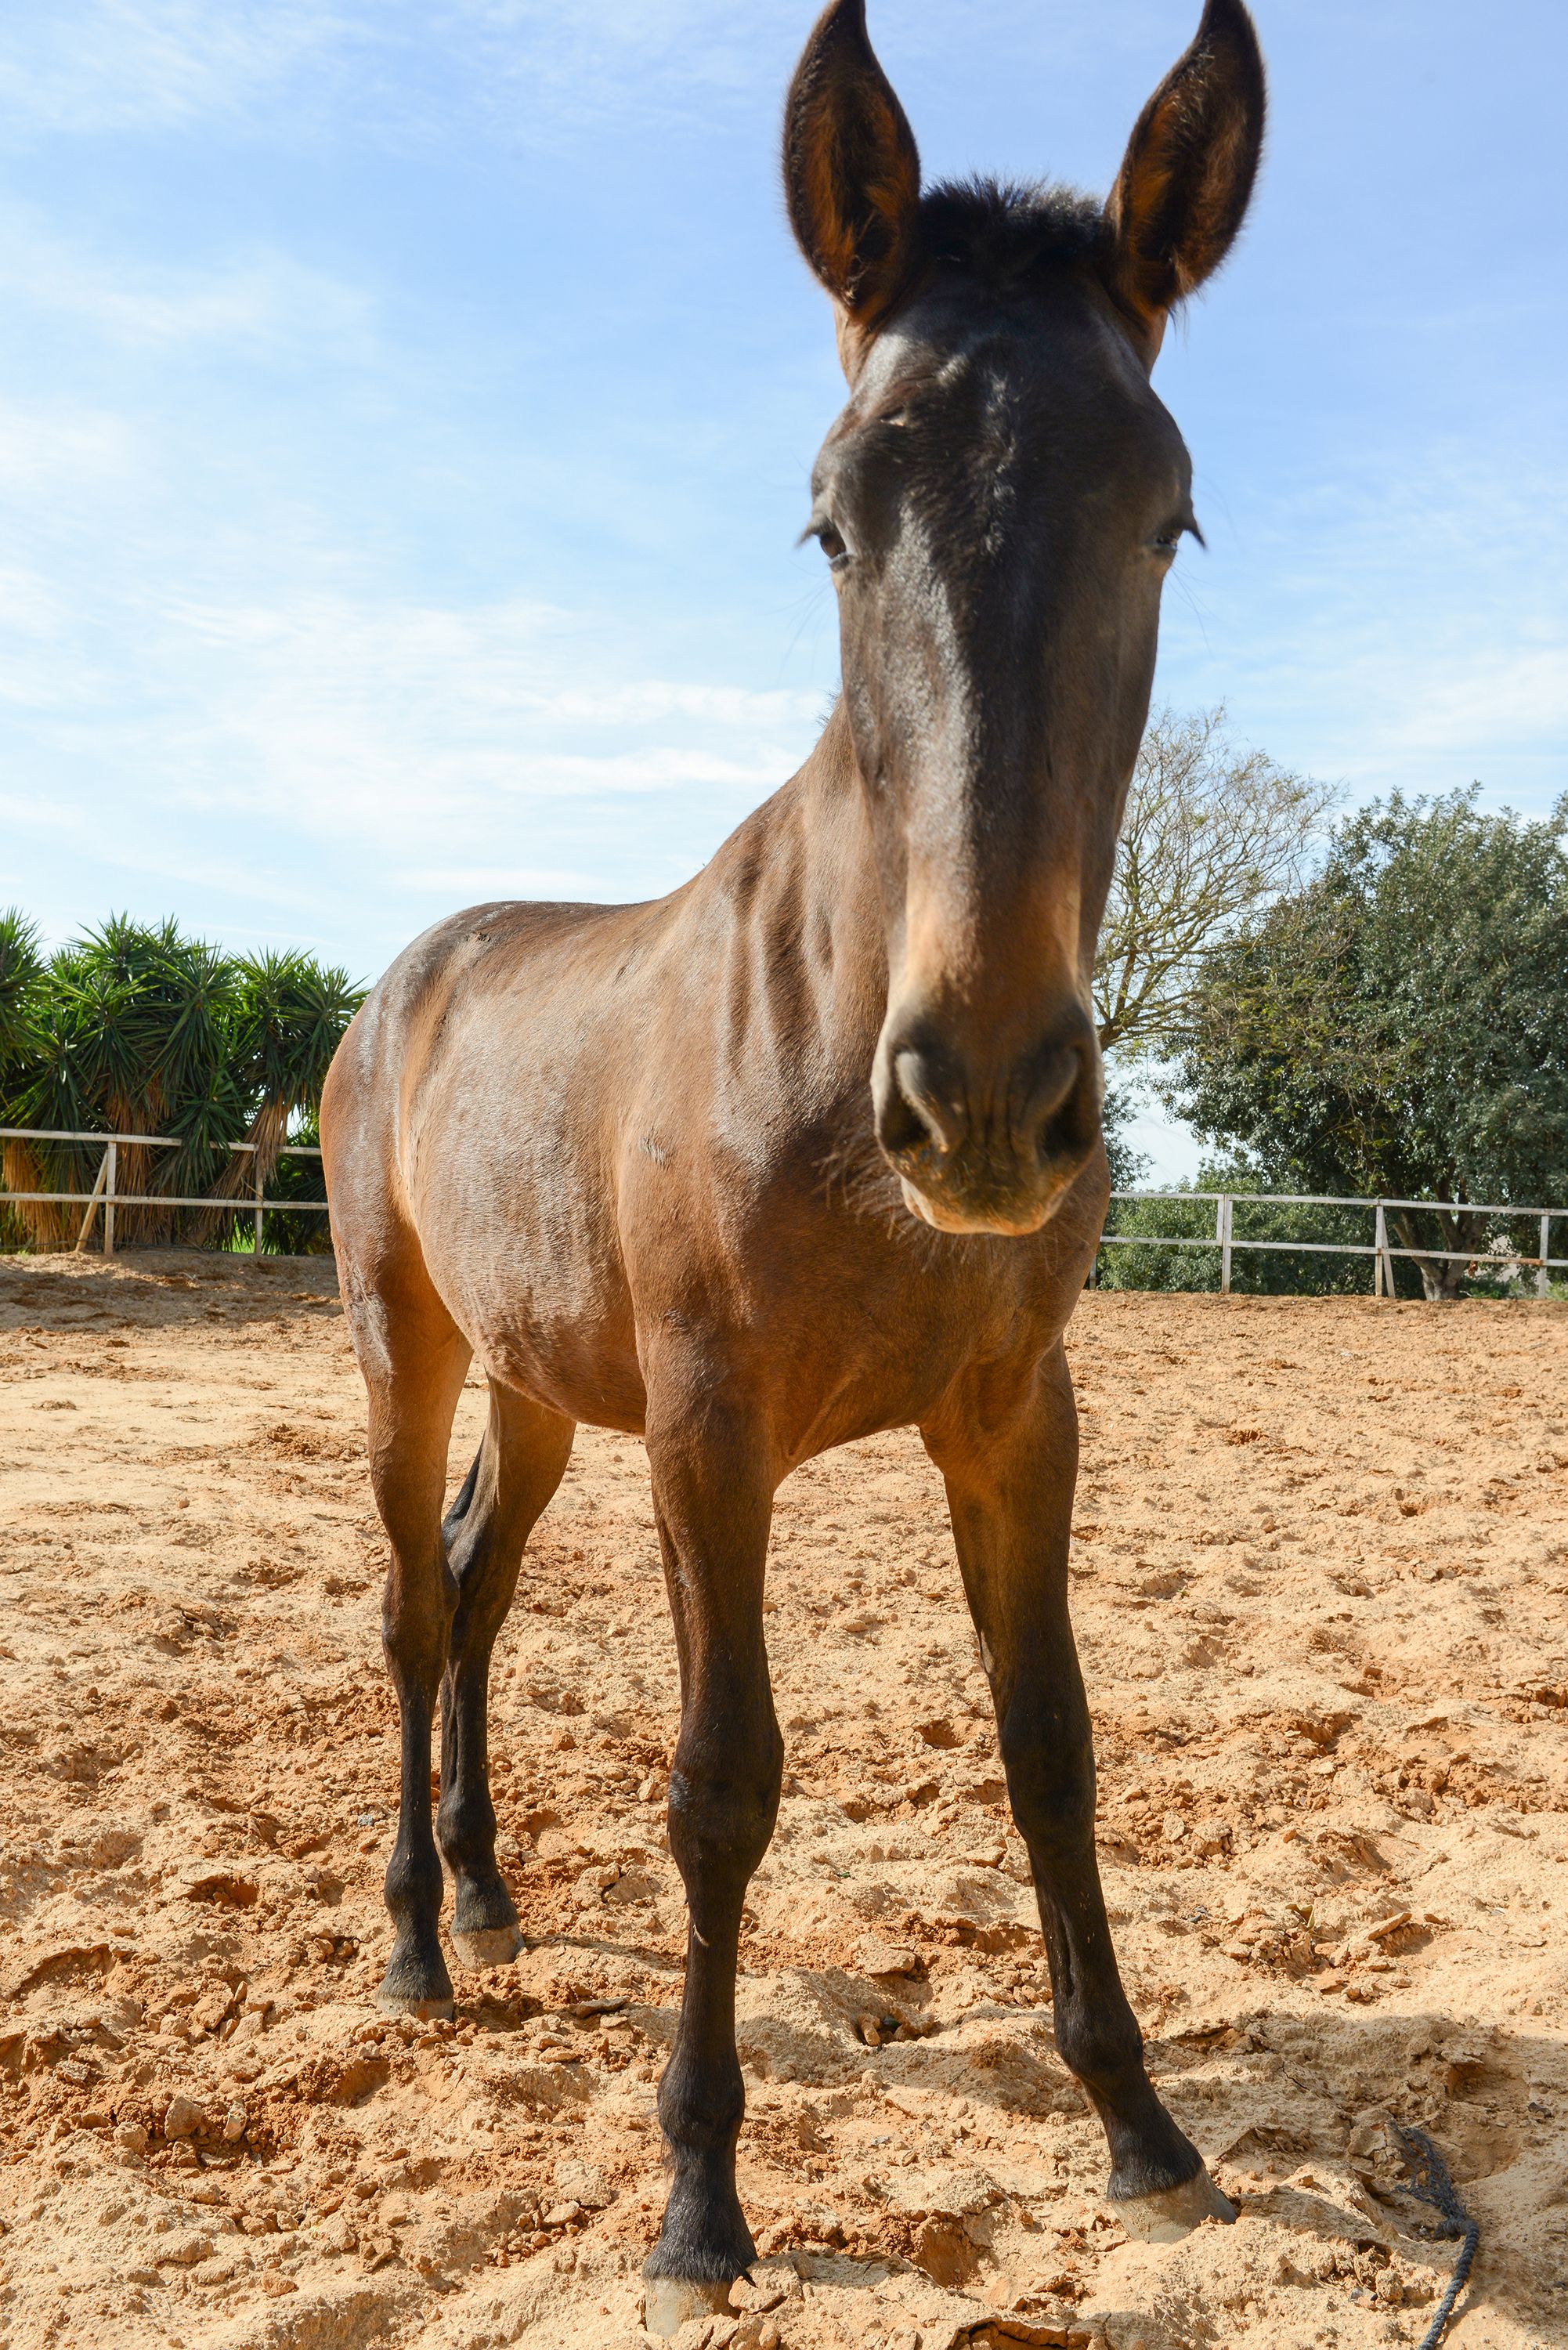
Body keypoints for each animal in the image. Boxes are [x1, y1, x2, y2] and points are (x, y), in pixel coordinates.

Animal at [320, 0, 1259, 2312]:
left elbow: (1052, 1748)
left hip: (542, 1390)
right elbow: (720, 1783)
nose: (987, 1096)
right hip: (409, 1352)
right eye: (834, 515)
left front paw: (1140, 2127)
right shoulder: (711, 1429)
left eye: (1170, 514)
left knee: (474, 1586)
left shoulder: (1015, 1418)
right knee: (409, 1609)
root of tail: (410, 973)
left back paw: (487, 1894)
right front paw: (697, 2193)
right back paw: (415, 1944)